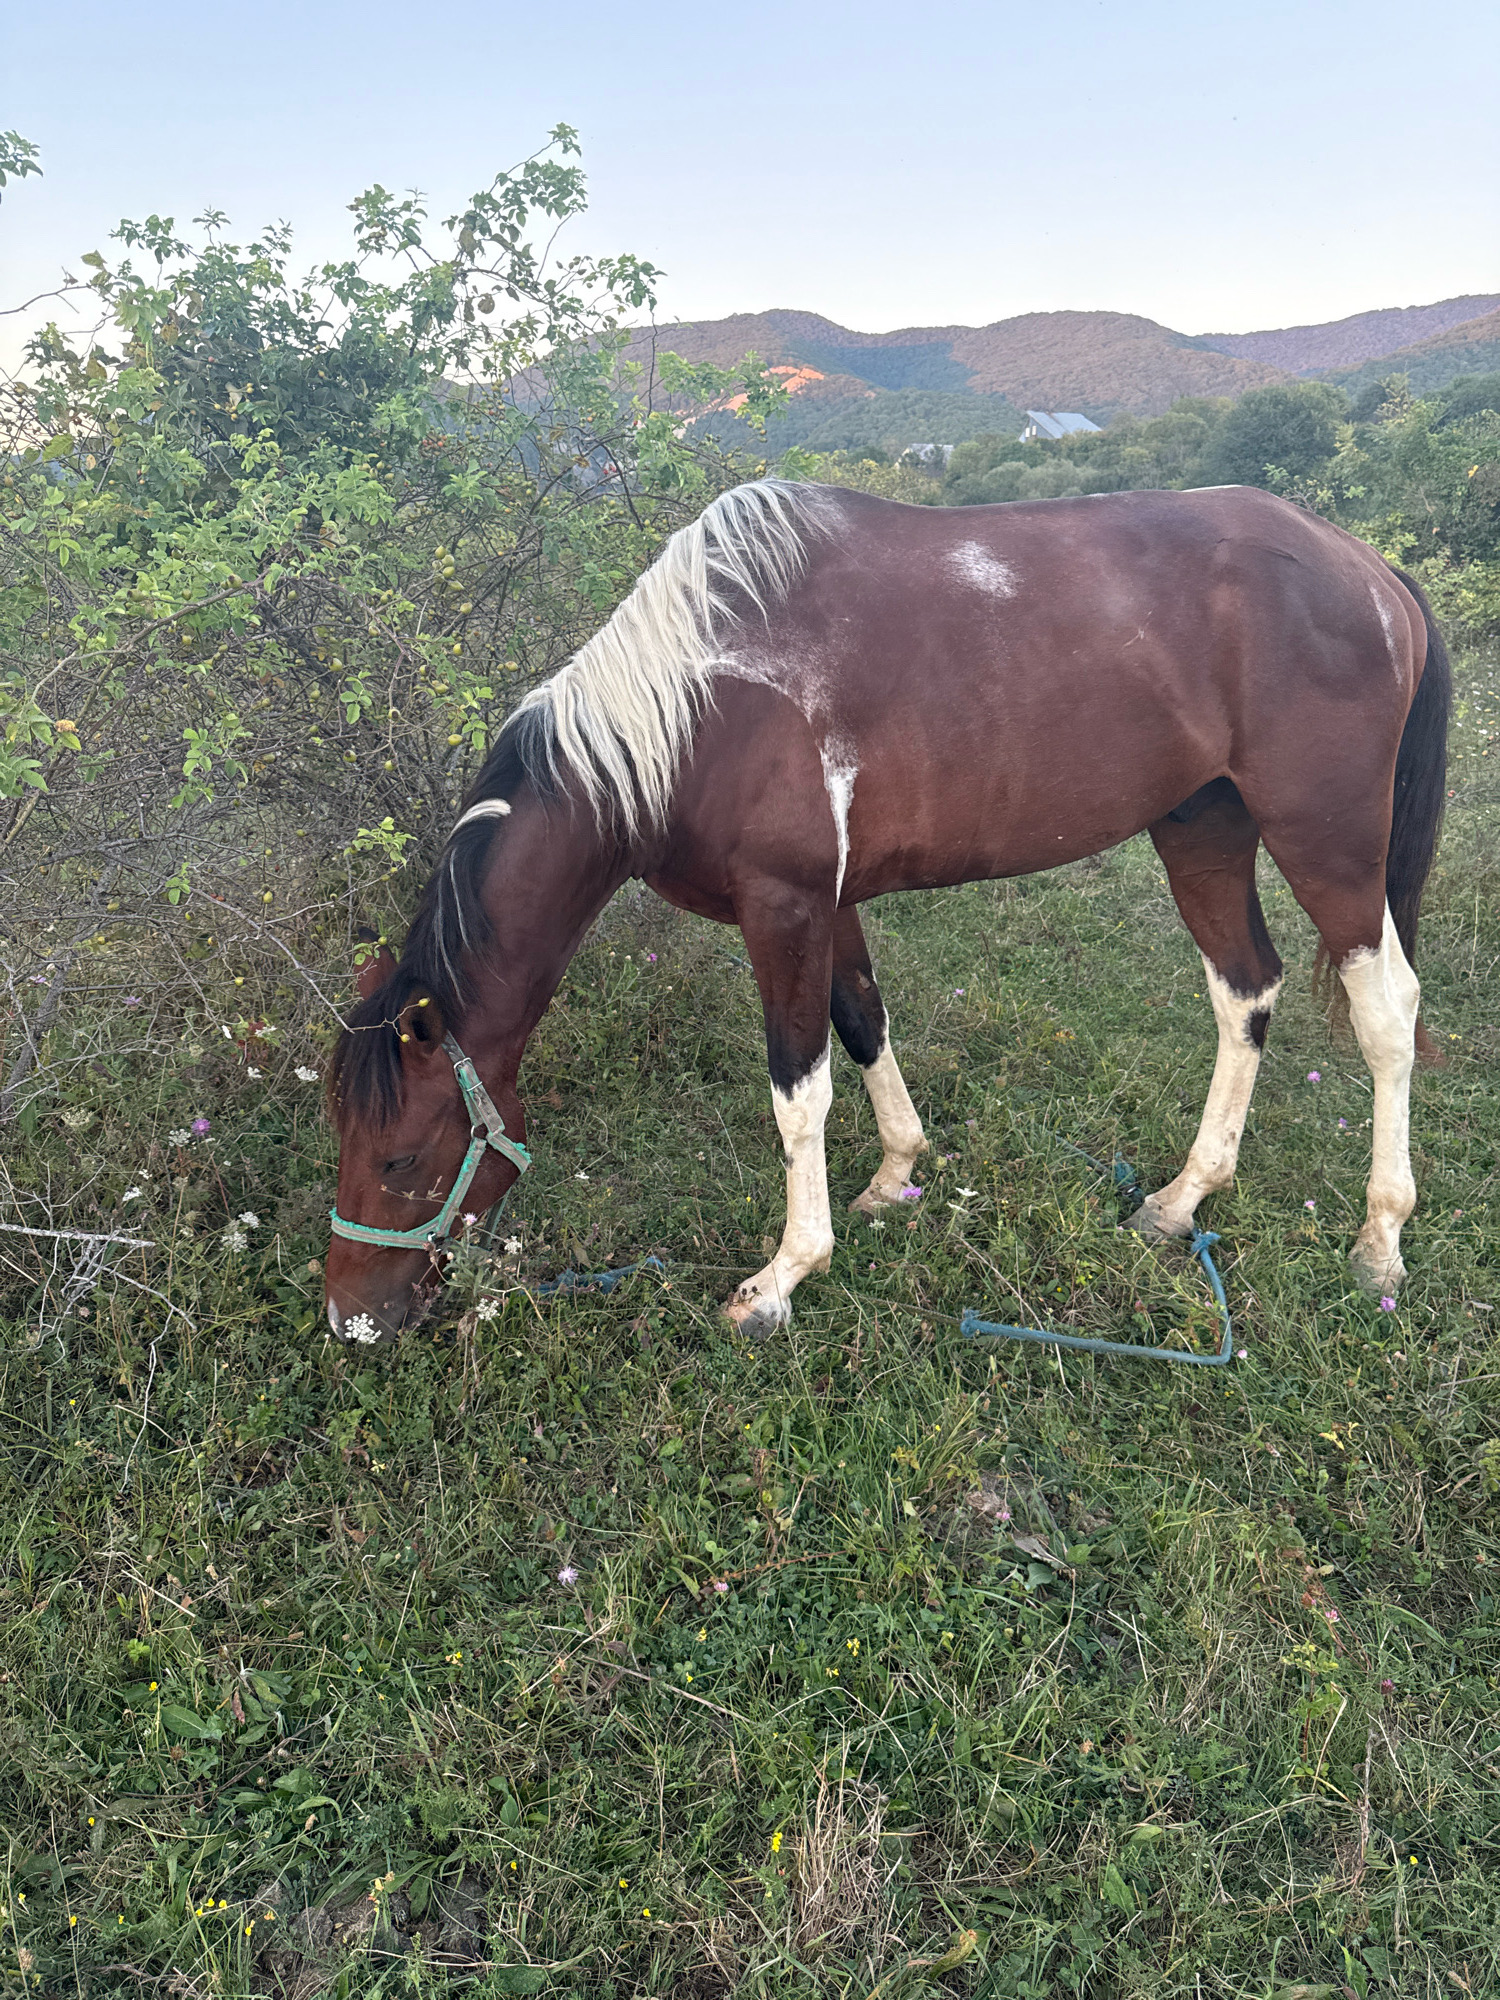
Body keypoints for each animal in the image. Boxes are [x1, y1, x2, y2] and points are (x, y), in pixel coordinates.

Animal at [323, 478, 1450, 1345]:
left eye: (402, 1157)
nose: (351, 1321)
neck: (700, 709)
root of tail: (1369, 569)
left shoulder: (781, 907)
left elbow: (797, 1087)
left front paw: (783, 1276)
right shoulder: (831, 903)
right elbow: (862, 1020)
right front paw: (894, 1178)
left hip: (1327, 841)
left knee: (1386, 1010)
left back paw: (1382, 1241)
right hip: (1203, 827)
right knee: (1243, 990)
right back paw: (1181, 1201)